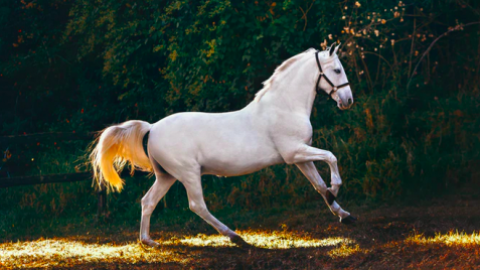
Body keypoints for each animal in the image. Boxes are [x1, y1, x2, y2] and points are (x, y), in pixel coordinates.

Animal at [90, 43, 354, 248]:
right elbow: (331, 157)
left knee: (148, 201)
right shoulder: (294, 152)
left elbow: (319, 186)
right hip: (188, 173)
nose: (348, 100)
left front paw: (343, 213)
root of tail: (152, 128)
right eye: (337, 70)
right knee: (197, 205)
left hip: (166, 176)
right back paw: (235, 236)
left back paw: (148, 241)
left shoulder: (300, 157)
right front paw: (336, 189)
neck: (285, 106)